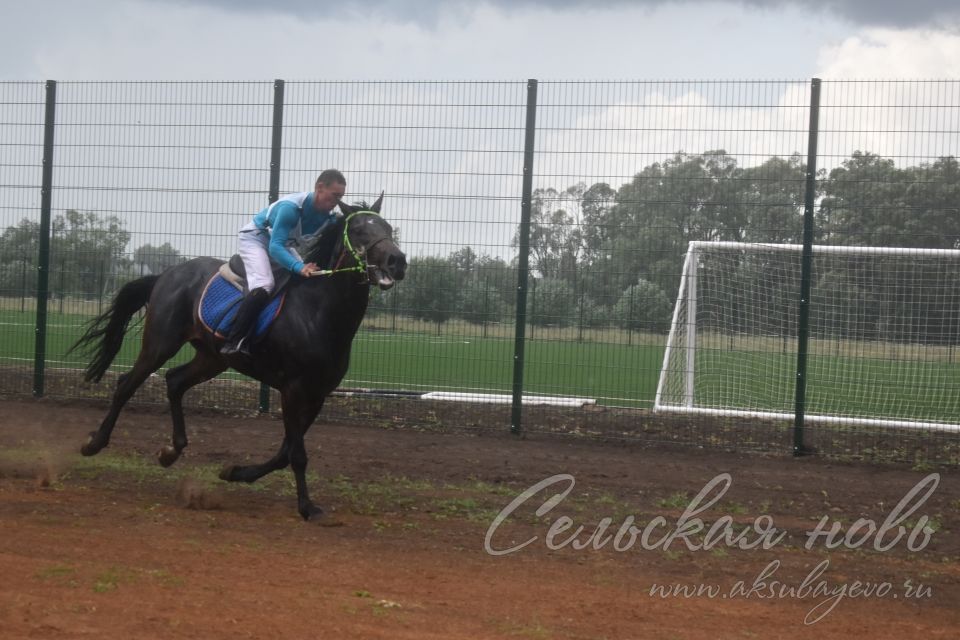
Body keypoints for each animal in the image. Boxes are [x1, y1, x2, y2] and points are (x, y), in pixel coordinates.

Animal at [69, 198, 406, 524]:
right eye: (360, 230)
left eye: (388, 228)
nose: (398, 261)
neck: (317, 312)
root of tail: (167, 274)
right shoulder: (293, 390)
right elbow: (297, 454)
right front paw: (308, 508)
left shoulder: (317, 395)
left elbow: (285, 453)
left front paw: (235, 472)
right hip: (160, 344)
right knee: (126, 385)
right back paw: (94, 443)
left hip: (212, 358)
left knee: (174, 381)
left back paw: (171, 450)